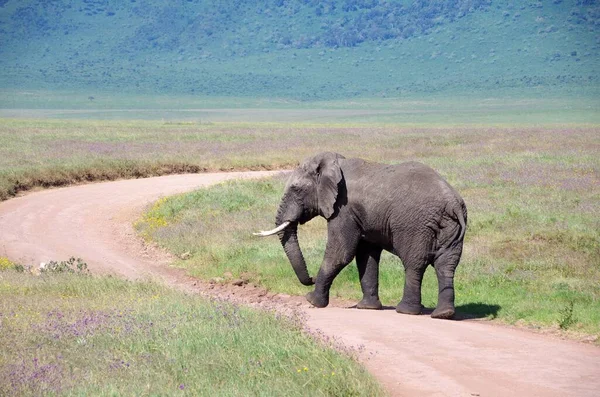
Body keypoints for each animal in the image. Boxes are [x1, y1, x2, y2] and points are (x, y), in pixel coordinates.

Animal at [254, 152, 468, 318]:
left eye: (296, 189)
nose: (311, 278)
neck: (336, 163)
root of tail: (452, 203)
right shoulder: (362, 216)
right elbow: (366, 256)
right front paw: (367, 308)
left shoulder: (344, 209)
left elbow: (341, 253)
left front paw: (312, 301)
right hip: (450, 228)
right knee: (446, 265)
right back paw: (444, 314)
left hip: (415, 226)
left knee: (414, 263)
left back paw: (406, 311)